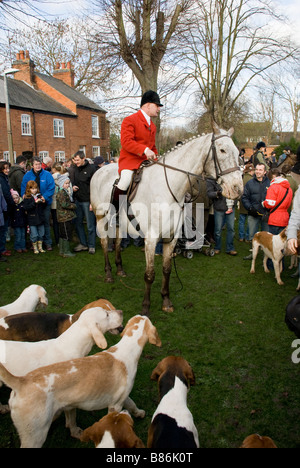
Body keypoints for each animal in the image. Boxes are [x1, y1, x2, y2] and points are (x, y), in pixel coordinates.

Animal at [90, 122, 243, 316]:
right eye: (222, 150)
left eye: (238, 153)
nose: (237, 189)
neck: (168, 188)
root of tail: (100, 170)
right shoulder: (151, 239)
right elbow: (149, 275)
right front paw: (145, 308)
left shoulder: (171, 238)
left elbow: (167, 270)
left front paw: (166, 301)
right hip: (100, 218)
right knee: (104, 243)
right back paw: (109, 274)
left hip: (120, 225)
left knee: (117, 243)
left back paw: (120, 270)